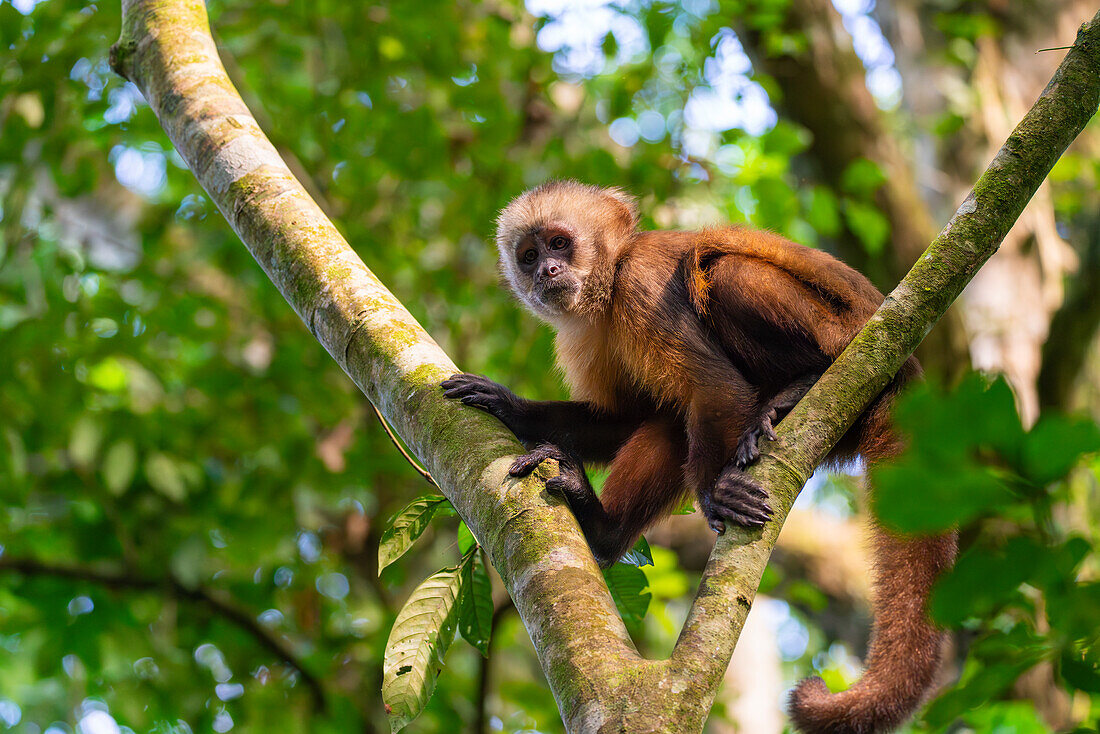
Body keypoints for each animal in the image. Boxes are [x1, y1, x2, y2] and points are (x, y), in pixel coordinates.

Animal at [437, 180, 954, 734]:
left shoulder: (641, 285)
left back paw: (803, 382)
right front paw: (508, 406)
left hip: (844, 340)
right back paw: (603, 529)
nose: (546, 272)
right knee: (669, 424)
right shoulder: (584, 335)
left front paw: (713, 496)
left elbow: (713, 385)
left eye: (559, 244)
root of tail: (907, 378)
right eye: (529, 256)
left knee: (719, 271)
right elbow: (628, 419)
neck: (608, 286)